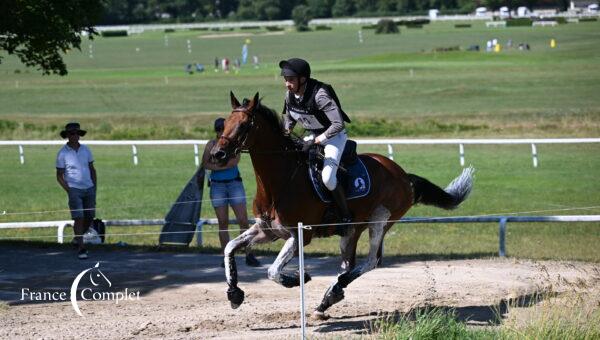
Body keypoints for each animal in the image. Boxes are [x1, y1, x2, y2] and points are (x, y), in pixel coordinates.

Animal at [211, 91, 474, 318]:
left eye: (244, 125)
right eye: (224, 124)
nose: (217, 154)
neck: (281, 181)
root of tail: (403, 175)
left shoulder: (300, 235)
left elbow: (273, 271)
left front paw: (298, 279)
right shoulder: (267, 231)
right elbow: (230, 247)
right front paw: (234, 294)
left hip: (380, 220)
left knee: (371, 261)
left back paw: (336, 288)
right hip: (351, 229)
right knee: (349, 263)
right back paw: (329, 297)